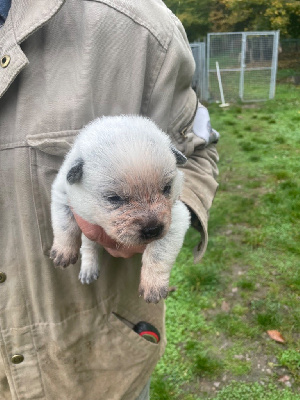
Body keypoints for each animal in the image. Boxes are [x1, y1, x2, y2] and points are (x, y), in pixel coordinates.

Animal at [49, 115, 190, 304]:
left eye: (167, 187)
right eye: (114, 198)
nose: (153, 230)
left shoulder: (177, 217)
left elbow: (158, 253)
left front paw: (153, 286)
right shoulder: (62, 193)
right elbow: (64, 225)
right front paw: (63, 252)